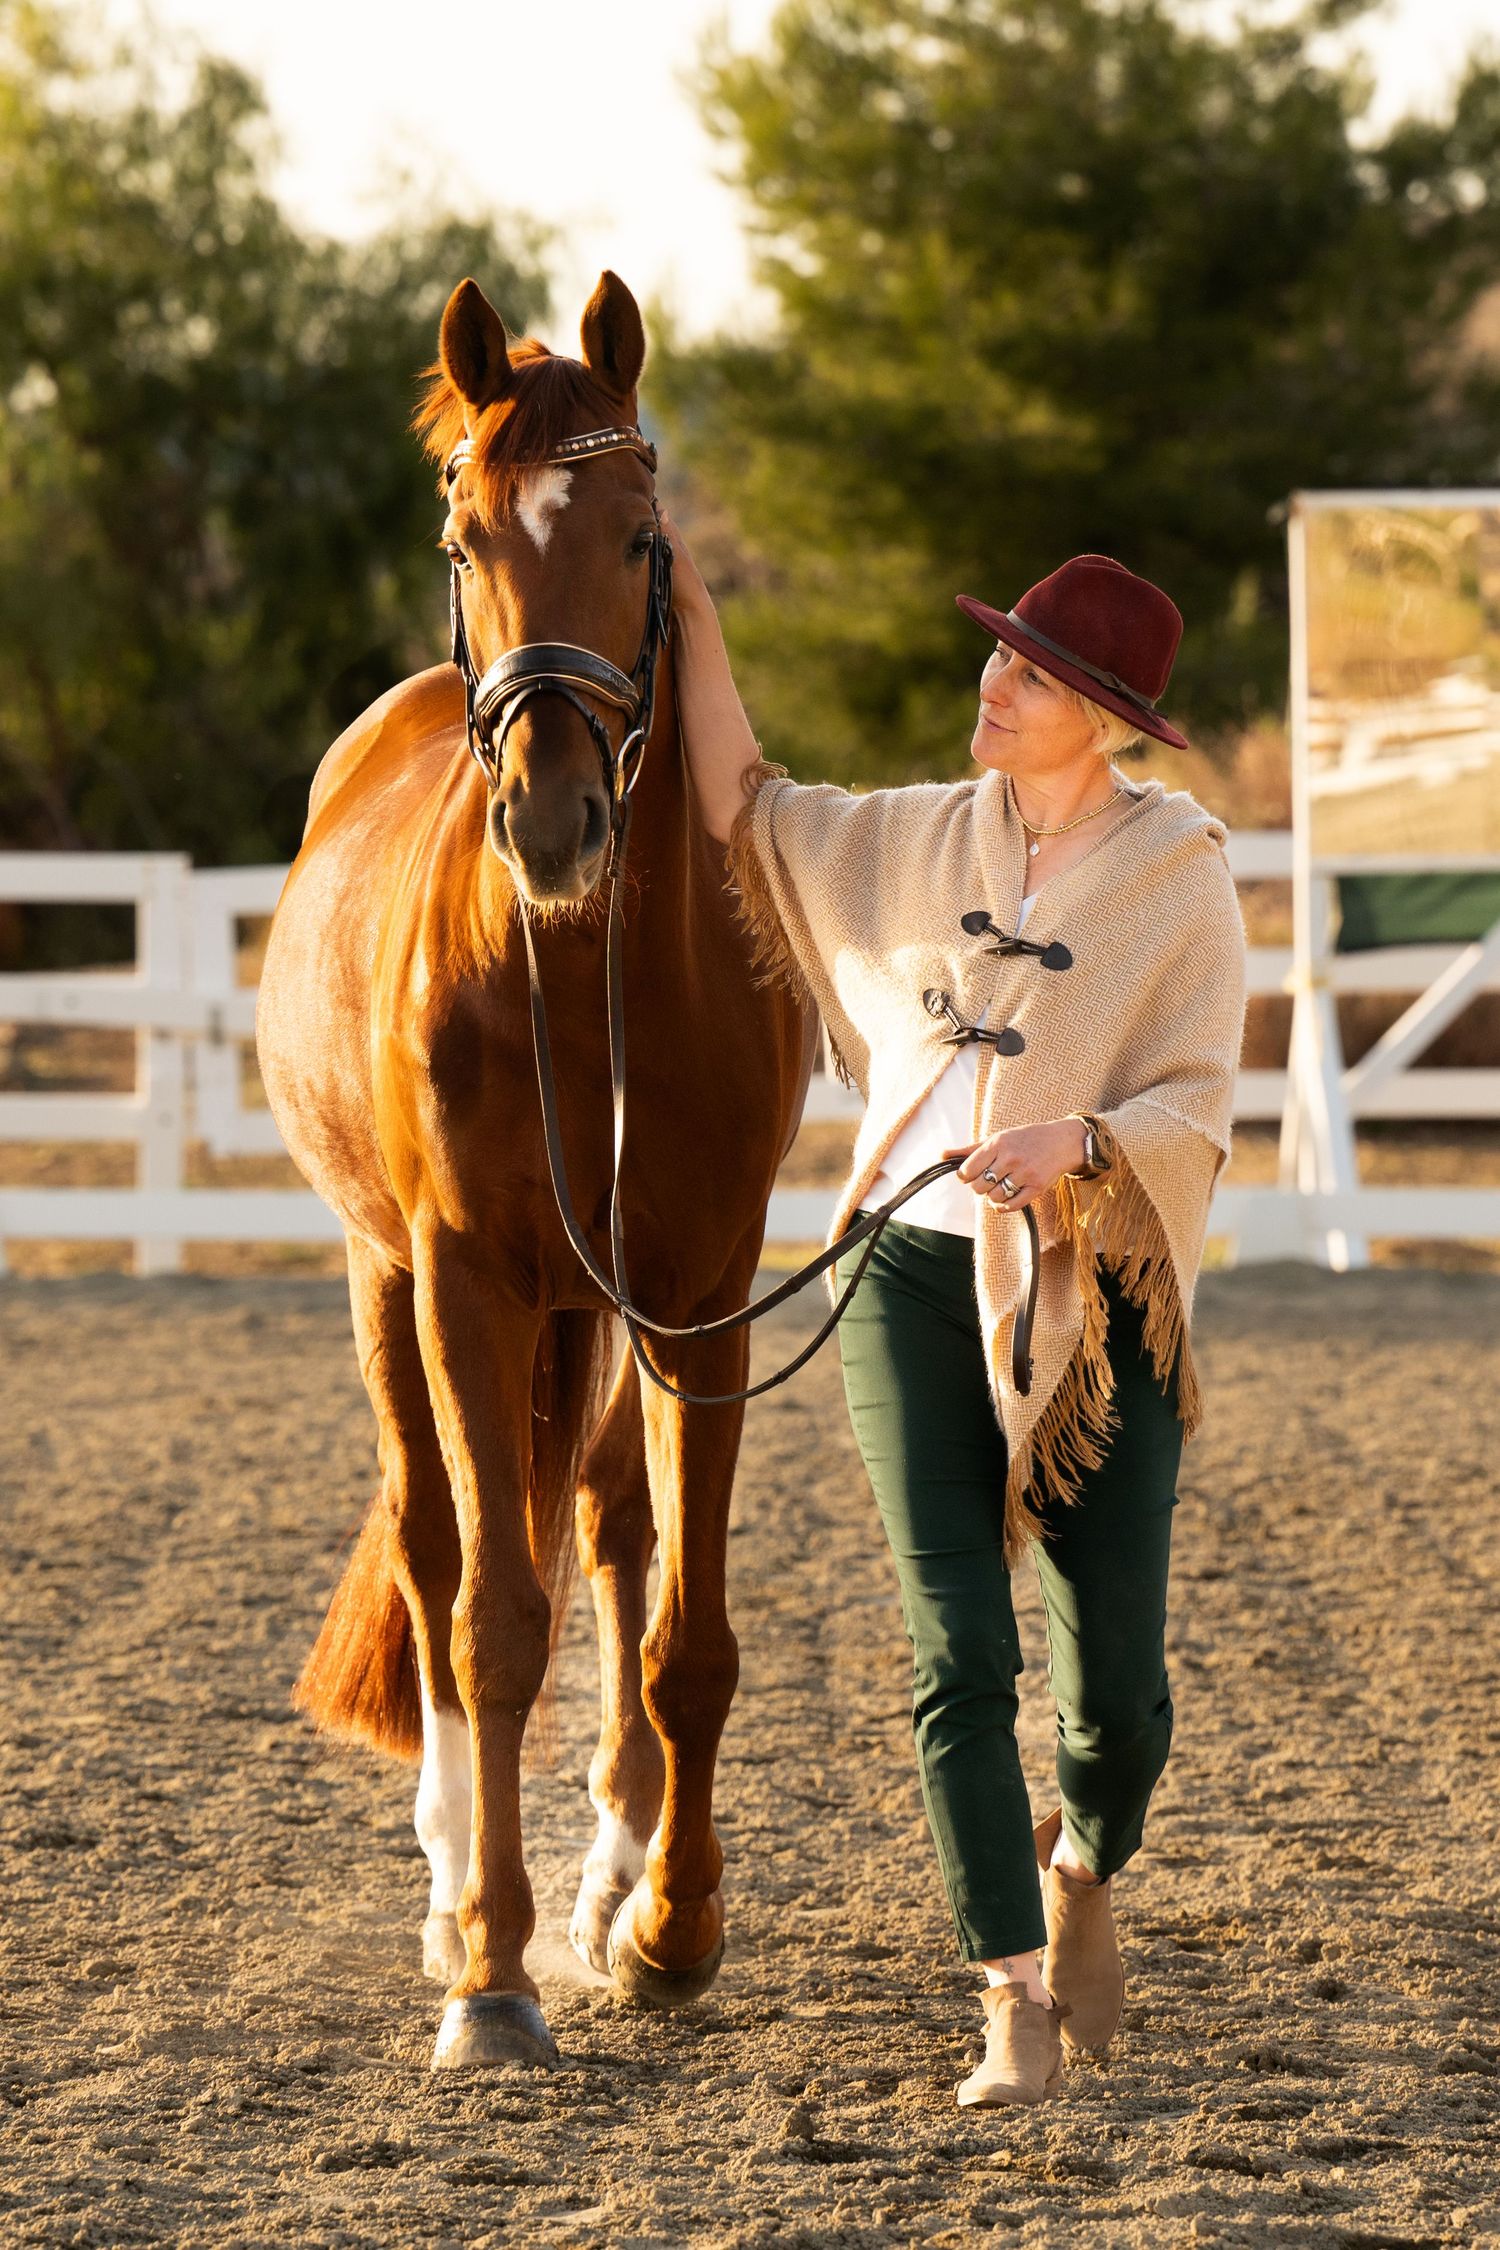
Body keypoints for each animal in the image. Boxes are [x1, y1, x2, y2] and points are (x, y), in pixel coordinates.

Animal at [255, 270, 816, 2070]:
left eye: (643, 537)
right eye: (463, 534)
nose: (554, 818)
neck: (580, 971)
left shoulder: (701, 1295)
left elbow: (683, 1629)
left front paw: (669, 1923)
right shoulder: (469, 1284)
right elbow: (492, 1620)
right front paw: (491, 1978)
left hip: (603, 1310)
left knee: (613, 1529)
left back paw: (612, 1869)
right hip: (388, 1284)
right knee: (438, 1549)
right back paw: (454, 1892)